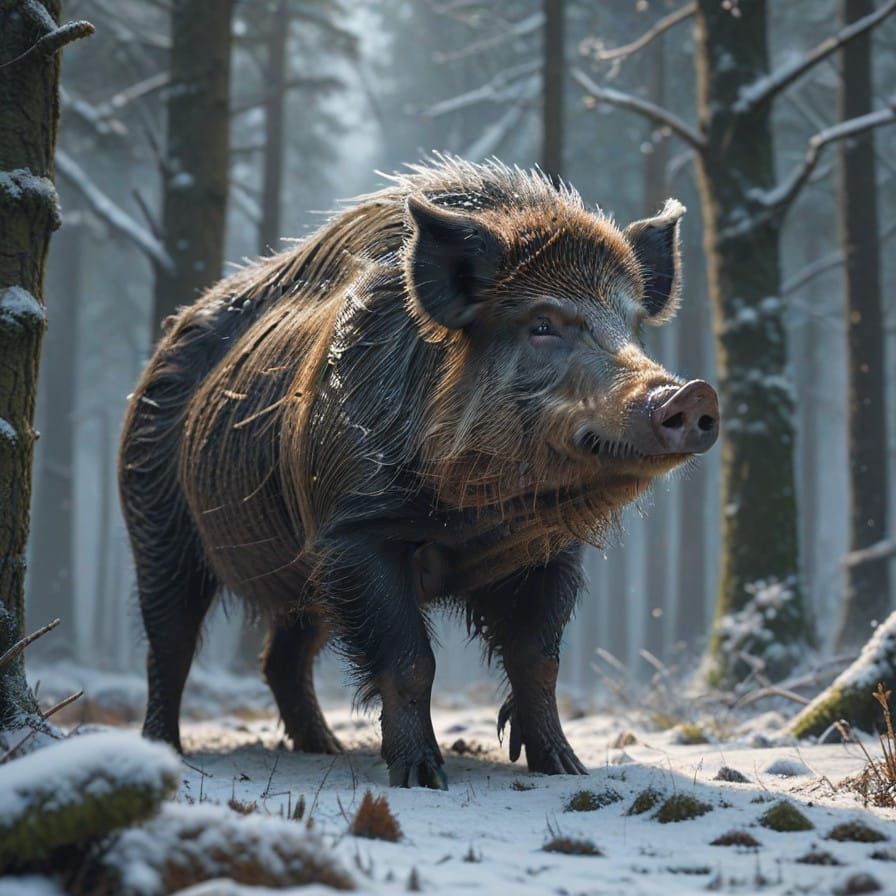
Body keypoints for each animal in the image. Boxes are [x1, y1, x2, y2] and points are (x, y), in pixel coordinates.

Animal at [119, 157, 718, 788]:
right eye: (542, 325)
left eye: (632, 324)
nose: (690, 393)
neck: (478, 517)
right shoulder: (354, 530)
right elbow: (411, 662)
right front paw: (422, 778)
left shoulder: (553, 552)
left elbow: (539, 661)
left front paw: (566, 769)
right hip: (154, 522)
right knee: (169, 644)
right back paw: (166, 749)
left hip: (303, 574)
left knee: (280, 656)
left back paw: (325, 748)